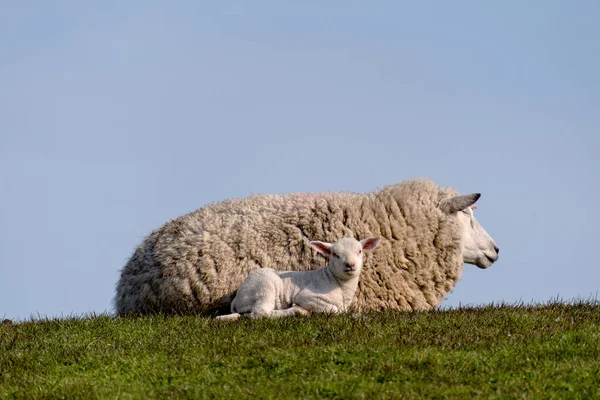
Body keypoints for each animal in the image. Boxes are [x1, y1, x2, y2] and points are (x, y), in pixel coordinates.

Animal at [218, 238, 382, 318]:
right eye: (335, 254)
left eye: (360, 251)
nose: (350, 264)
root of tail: (237, 297)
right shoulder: (306, 296)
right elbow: (335, 310)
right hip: (264, 287)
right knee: (260, 313)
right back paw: (294, 312)